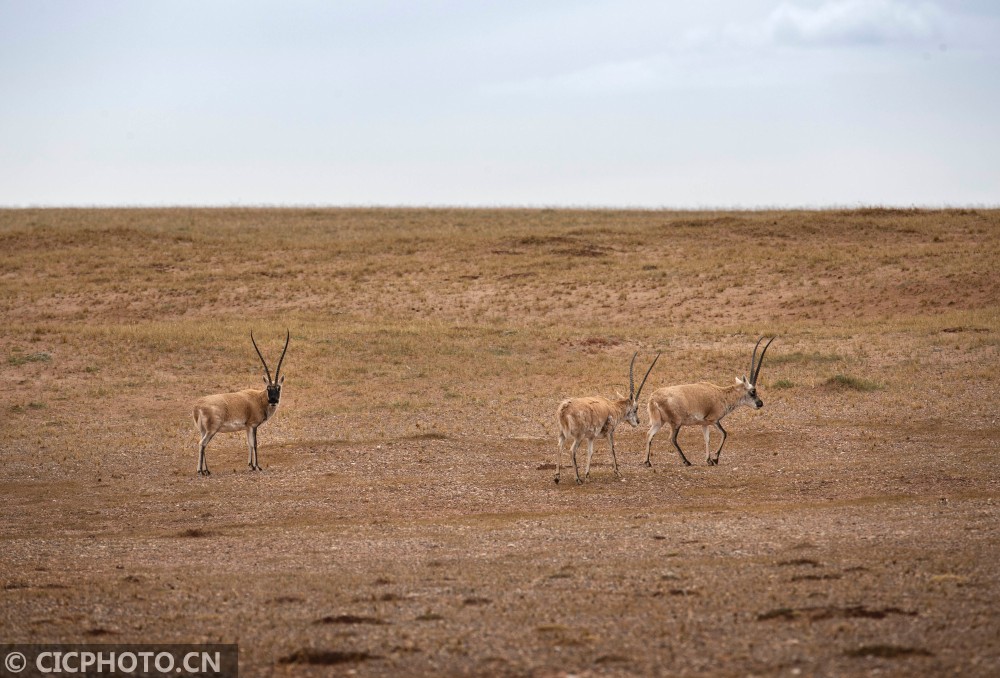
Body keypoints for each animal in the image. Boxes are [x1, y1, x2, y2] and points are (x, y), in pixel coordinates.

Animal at [193, 332, 290, 476]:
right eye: (268, 388)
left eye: (278, 388)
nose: (273, 401)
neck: (259, 398)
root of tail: (198, 406)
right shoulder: (253, 425)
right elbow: (254, 443)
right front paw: (258, 466)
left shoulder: (247, 427)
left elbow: (248, 443)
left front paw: (251, 465)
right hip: (212, 430)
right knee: (202, 444)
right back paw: (202, 471)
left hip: (203, 430)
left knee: (201, 443)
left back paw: (205, 470)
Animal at [560, 354, 660, 486]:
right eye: (636, 408)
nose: (637, 422)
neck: (612, 407)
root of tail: (565, 408)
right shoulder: (609, 432)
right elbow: (612, 448)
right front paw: (617, 472)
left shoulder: (591, 437)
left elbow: (590, 452)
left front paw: (587, 475)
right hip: (578, 436)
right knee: (572, 450)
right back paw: (577, 479)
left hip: (563, 433)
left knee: (559, 447)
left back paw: (557, 477)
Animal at [644, 338, 776, 470]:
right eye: (753, 391)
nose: (760, 403)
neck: (721, 394)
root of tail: (653, 398)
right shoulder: (714, 420)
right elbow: (724, 434)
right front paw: (715, 459)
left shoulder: (704, 423)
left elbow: (707, 439)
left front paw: (708, 460)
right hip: (676, 423)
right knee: (672, 439)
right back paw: (686, 461)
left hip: (660, 422)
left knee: (649, 434)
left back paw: (647, 462)